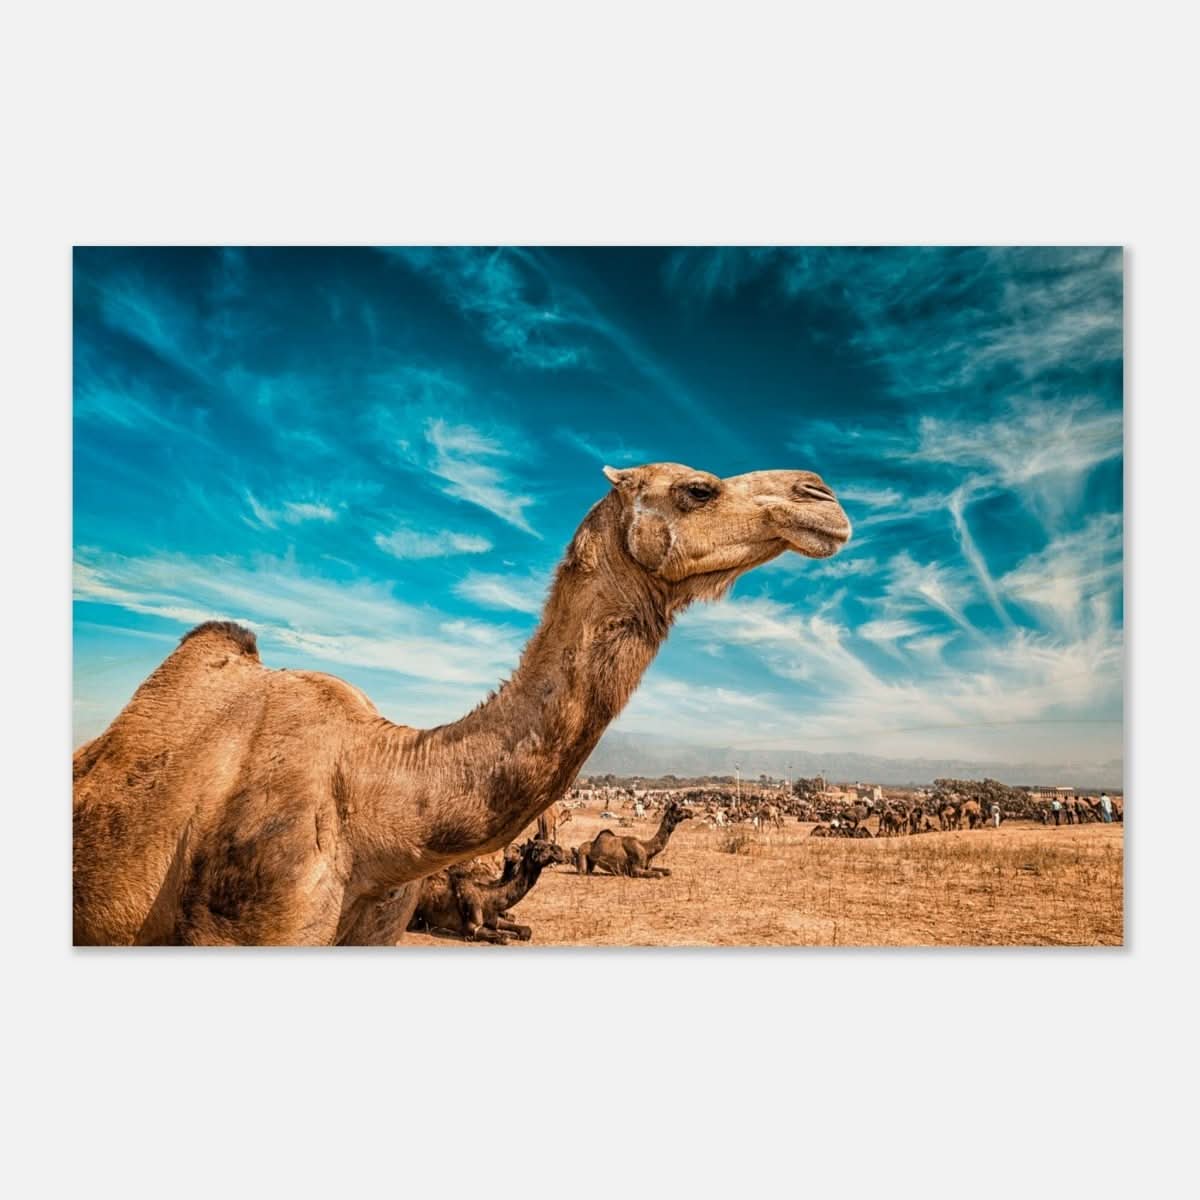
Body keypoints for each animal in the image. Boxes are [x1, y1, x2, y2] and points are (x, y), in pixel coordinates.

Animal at [408, 838, 568, 944]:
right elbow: (504, 937)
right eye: (540, 848)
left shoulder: (493, 918)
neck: (489, 896)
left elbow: (526, 930)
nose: (560, 851)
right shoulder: (472, 927)